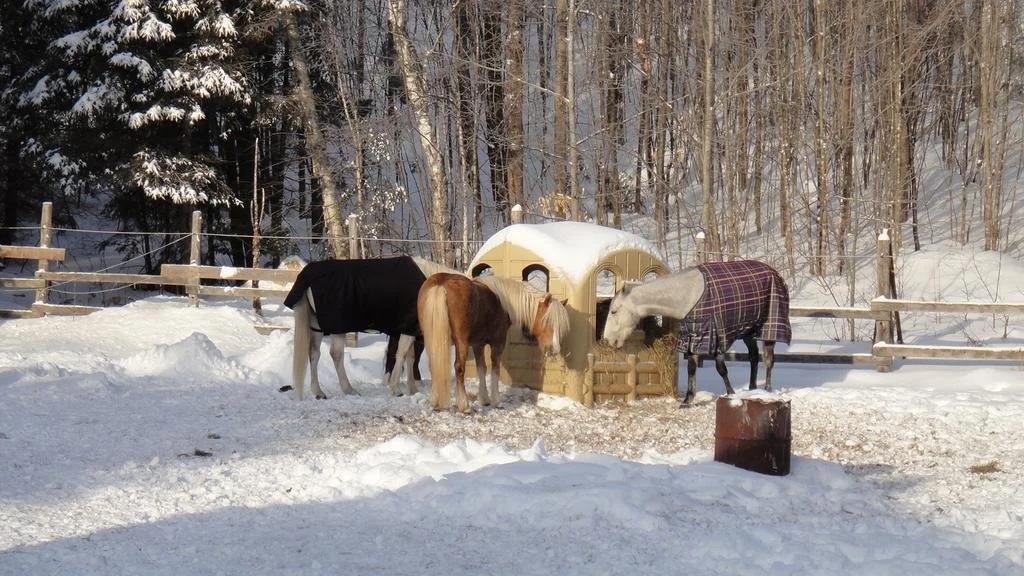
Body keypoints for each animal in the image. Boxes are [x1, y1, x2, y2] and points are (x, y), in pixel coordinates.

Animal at [283, 255, 456, 400]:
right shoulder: (407, 327)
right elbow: (401, 354)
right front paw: (396, 389)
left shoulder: (409, 329)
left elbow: (410, 357)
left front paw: (413, 390)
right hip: (337, 327)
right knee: (336, 354)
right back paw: (348, 389)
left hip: (316, 326)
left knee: (314, 354)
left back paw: (318, 392)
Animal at [418, 273, 570, 413]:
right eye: (547, 320)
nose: (554, 348)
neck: (504, 303)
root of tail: (441, 283)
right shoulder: (498, 344)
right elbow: (495, 370)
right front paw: (496, 401)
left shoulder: (478, 344)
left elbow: (482, 368)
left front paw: (484, 399)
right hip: (461, 343)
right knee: (459, 368)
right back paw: (464, 405)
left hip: (431, 341)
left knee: (433, 366)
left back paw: (436, 402)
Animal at [601, 260, 791, 405]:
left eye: (614, 311)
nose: (607, 340)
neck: (688, 295)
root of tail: (775, 273)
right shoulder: (693, 336)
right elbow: (692, 368)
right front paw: (688, 400)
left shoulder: (714, 336)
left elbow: (721, 368)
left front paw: (731, 394)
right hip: (748, 331)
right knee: (753, 356)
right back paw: (752, 389)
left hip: (769, 327)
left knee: (768, 359)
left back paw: (767, 390)